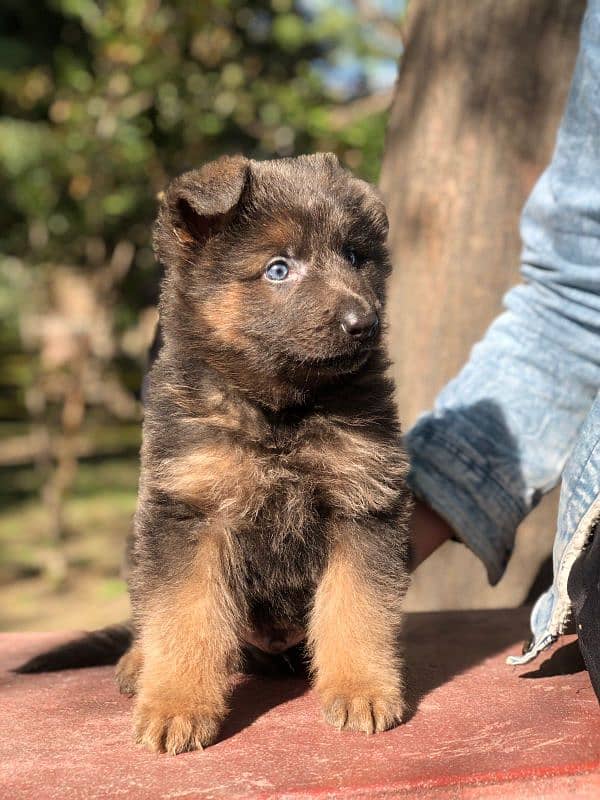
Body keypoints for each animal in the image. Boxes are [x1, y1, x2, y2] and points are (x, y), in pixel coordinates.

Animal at [17, 155, 412, 756]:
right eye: (278, 269)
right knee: (146, 614)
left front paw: (362, 689)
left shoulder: (364, 505)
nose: (362, 322)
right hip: (138, 542)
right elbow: (184, 618)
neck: (278, 413)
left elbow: (356, 610)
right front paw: (176, 705)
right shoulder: (191, 513)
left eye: (353, 256)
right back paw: (137, 662)